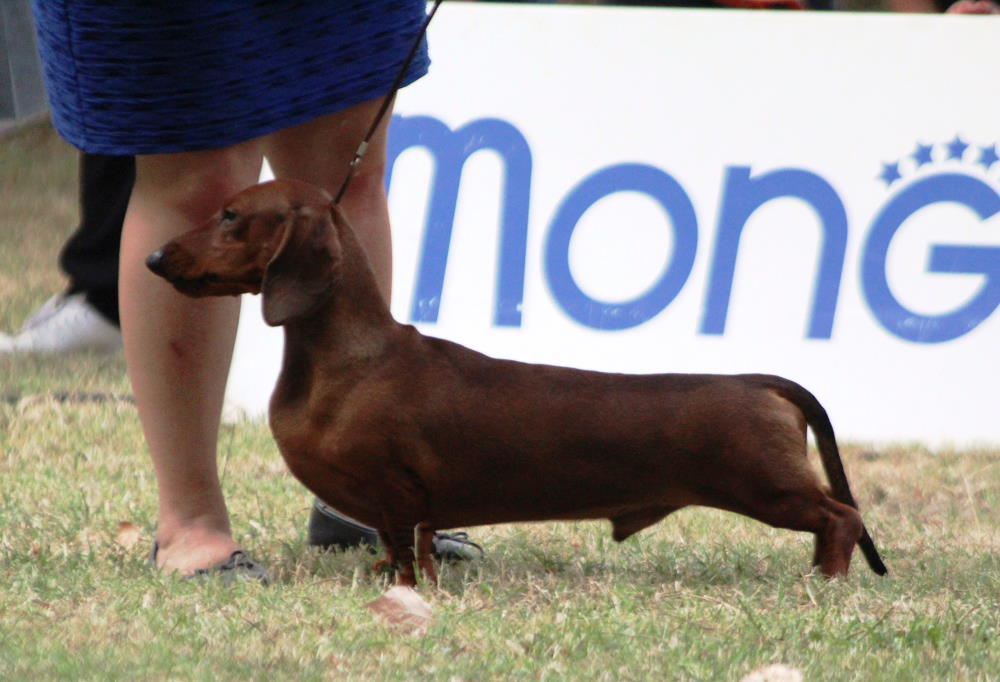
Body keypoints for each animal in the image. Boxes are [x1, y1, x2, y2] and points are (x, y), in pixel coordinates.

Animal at [145, 179, 888, 584]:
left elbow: (408, 545)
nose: (152, 257)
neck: (347, 358)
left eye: (231, 216)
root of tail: (760, 381)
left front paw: (410, 588)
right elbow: (400, 544)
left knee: (841, 517)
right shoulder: (402, 507)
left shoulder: (399, 490)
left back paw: (826, 581)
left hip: (764, 484)